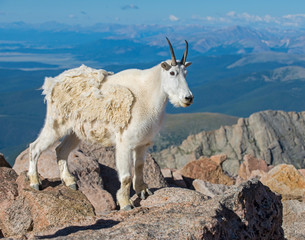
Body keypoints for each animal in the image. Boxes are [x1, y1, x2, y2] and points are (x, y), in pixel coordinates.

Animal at [26, 38, 192, 210]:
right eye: (172, 73)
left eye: (186, 73)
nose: (188, 98)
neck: (149, 94)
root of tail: (52, 83)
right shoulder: (124, 143)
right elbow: (125, 176)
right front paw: (125, 204)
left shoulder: (142, 143)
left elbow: (139, 167)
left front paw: (143, 191)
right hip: (56, 123)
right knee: (35, 147)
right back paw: (35, 182)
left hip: (75, 131)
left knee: (60, 149)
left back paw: (70, 181)